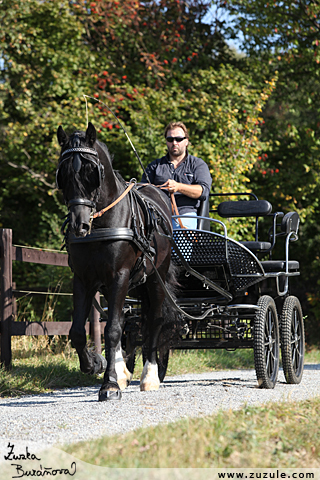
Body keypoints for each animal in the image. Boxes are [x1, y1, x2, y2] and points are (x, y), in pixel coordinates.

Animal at [56, 123, 176, 402]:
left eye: (92, 172)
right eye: (62, 174)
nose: (79, 225)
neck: (102, 224)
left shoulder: (119, 275)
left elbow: (111, 330)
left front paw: (109, 385)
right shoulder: (83, 279)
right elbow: (79, 331)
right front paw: (94, 364)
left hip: (156, 279)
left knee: (154, 321)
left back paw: (150, 376)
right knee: (124, 320)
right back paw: (122, 372)